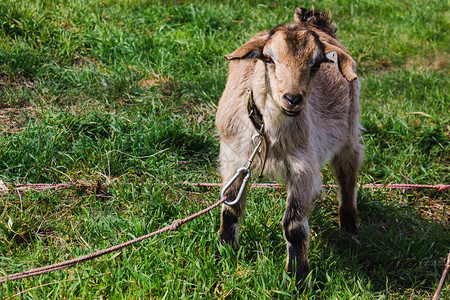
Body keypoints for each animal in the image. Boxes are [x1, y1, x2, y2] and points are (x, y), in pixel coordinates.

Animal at [216, 7, 364, 286]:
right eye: (268, 59)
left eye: (316, 64)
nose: (293, 98)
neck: (267, 134)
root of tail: (316, 24)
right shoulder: (235, 159)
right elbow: (231, 207)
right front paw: (224, 252)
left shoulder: (302, 167)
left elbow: (293, 225)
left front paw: (297, 278)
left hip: (349, 128)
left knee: (348, 170)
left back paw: (349, 224)